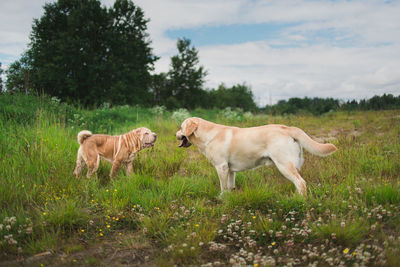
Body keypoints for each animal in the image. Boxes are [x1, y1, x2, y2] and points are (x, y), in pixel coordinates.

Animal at [177, 118, 336, 196]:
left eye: (180, 127)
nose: (175, 134)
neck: (208, 135)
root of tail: (288, 128)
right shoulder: (230, 170)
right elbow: (230, 186)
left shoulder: (221, 167)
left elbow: (223, 187)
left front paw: (221, 198)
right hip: (293, 166)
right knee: (299, 183)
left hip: (284, 165)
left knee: (301, 183)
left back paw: (300, 200)